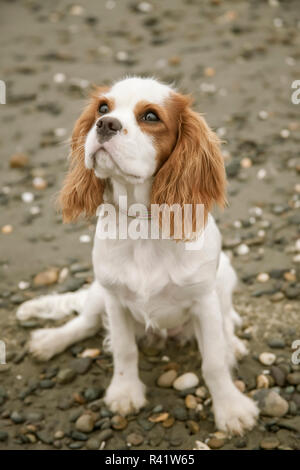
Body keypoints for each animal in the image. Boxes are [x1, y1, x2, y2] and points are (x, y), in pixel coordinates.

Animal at [17, 76, 258, 434]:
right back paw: (49, 341)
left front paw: (231, 409)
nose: (105, 124)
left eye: (151, 117)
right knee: (84, 322)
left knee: (227, 320)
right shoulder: (114, 298)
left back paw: (233, 343)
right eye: (103, 108)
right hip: (98, 292)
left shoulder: (204, 300)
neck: (141, 225)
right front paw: (124, 392)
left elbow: (213, 362)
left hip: (225, 278)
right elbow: (124, 349)